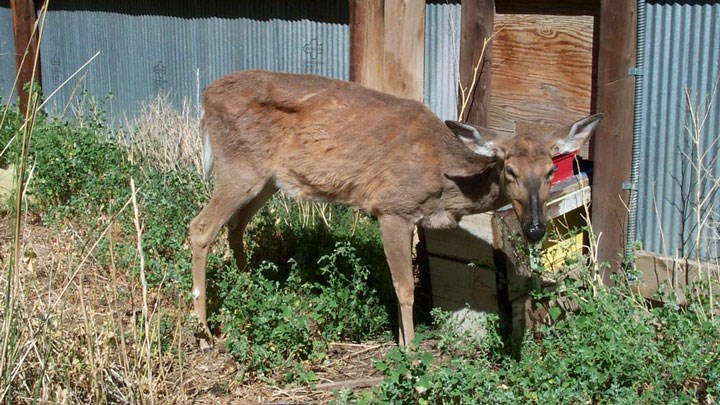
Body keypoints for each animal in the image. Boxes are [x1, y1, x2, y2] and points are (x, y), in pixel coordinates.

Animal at [187, 69, 600, 348]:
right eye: (510, 170)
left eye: (550, 171)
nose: (535, 229)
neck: (444, 180)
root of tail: (205, 97)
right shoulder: (391, 208)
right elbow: (405, 288)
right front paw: (412, 353)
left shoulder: (410, 216)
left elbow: (398, 282)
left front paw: (403, 342)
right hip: (239, 168)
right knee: (200, 228)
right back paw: (205, 332)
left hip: (267, 179)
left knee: (235, 226)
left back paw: (249, 287)